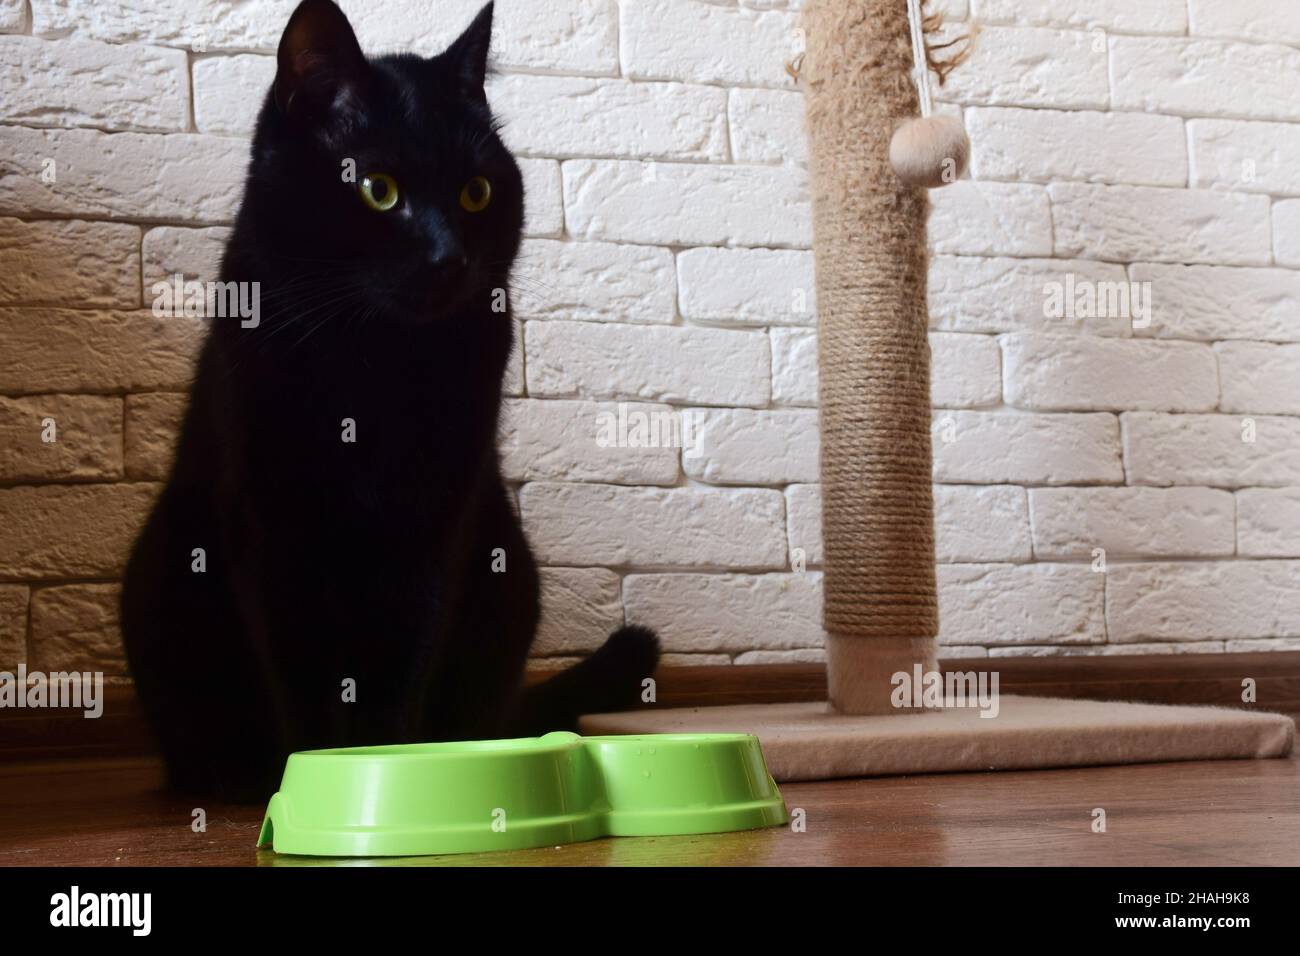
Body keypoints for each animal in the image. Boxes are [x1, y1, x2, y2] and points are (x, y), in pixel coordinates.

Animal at [122, 0, 660, 806]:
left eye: (476, 193)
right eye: (377, 189)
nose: (450, 258)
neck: (375, 359)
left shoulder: (440, 518)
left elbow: (408, 659)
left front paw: (392, 770)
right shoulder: (271, 523)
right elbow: (301, 671)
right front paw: (313, 776)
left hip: (509, 572)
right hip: (162, 569)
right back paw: (228, 776)